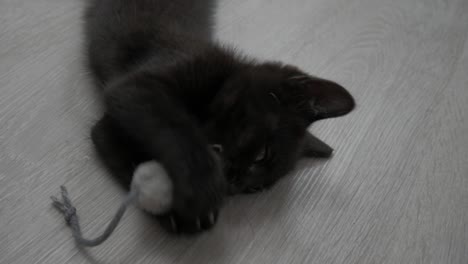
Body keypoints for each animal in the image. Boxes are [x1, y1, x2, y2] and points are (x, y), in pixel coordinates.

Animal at [85, 0, 354, 234]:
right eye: (262, 154)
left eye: (253, 189)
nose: (232, 182)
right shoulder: (137, 86)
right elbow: (171, 126)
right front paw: (198, 191)